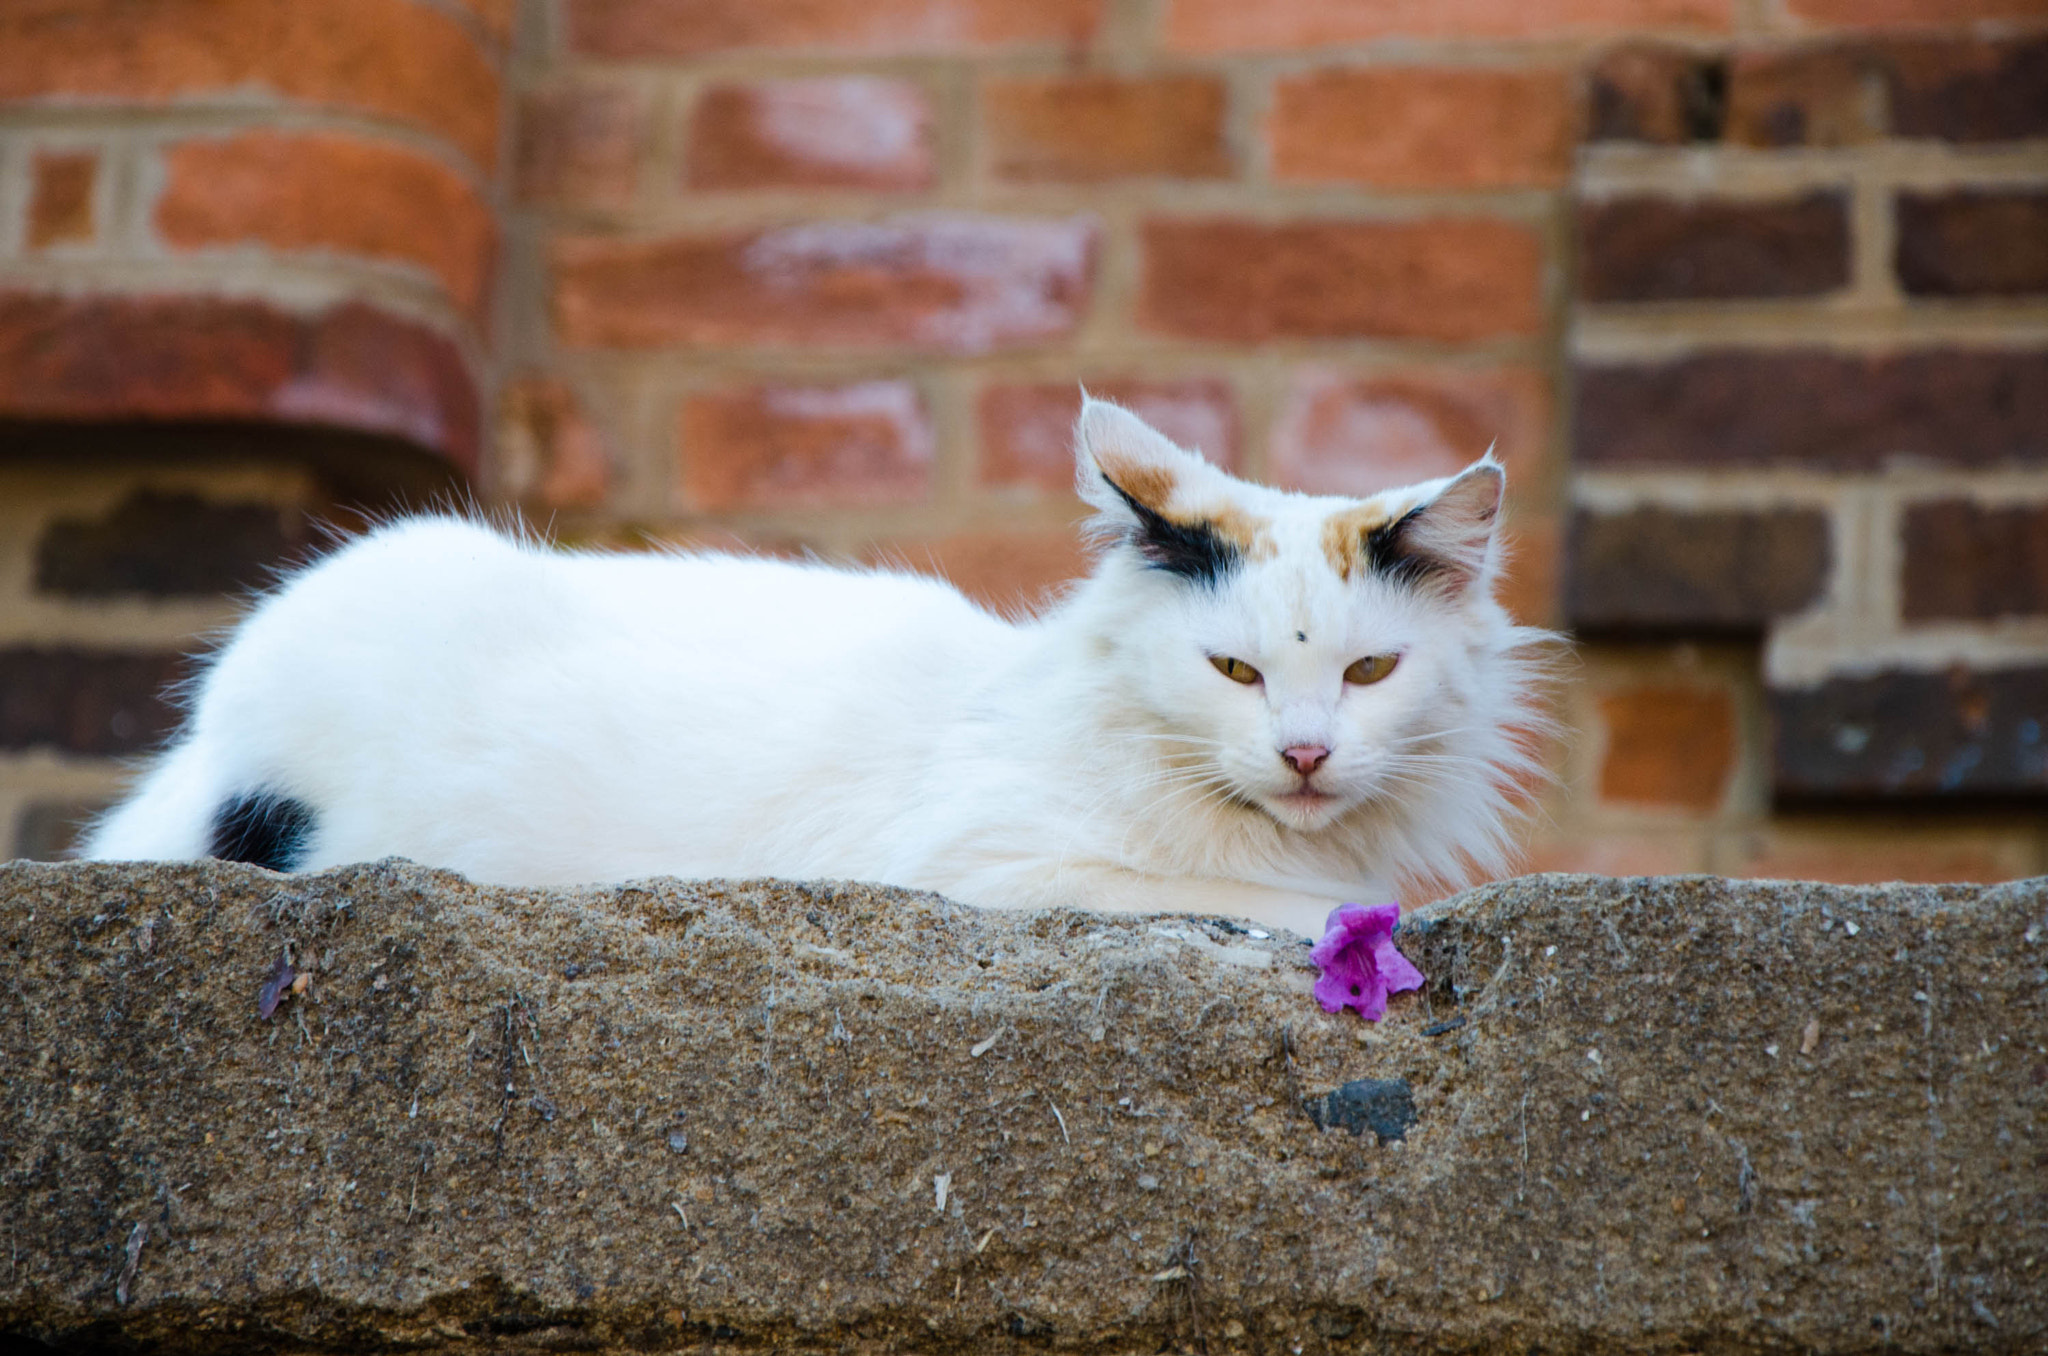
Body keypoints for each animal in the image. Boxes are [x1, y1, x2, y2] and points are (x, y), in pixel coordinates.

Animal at [83, 399, 1548, 942]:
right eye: (1234, 670)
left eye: (1369, 670)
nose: (1303, 751)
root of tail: (203, 743)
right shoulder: (991, 869)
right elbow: (1292, 903)